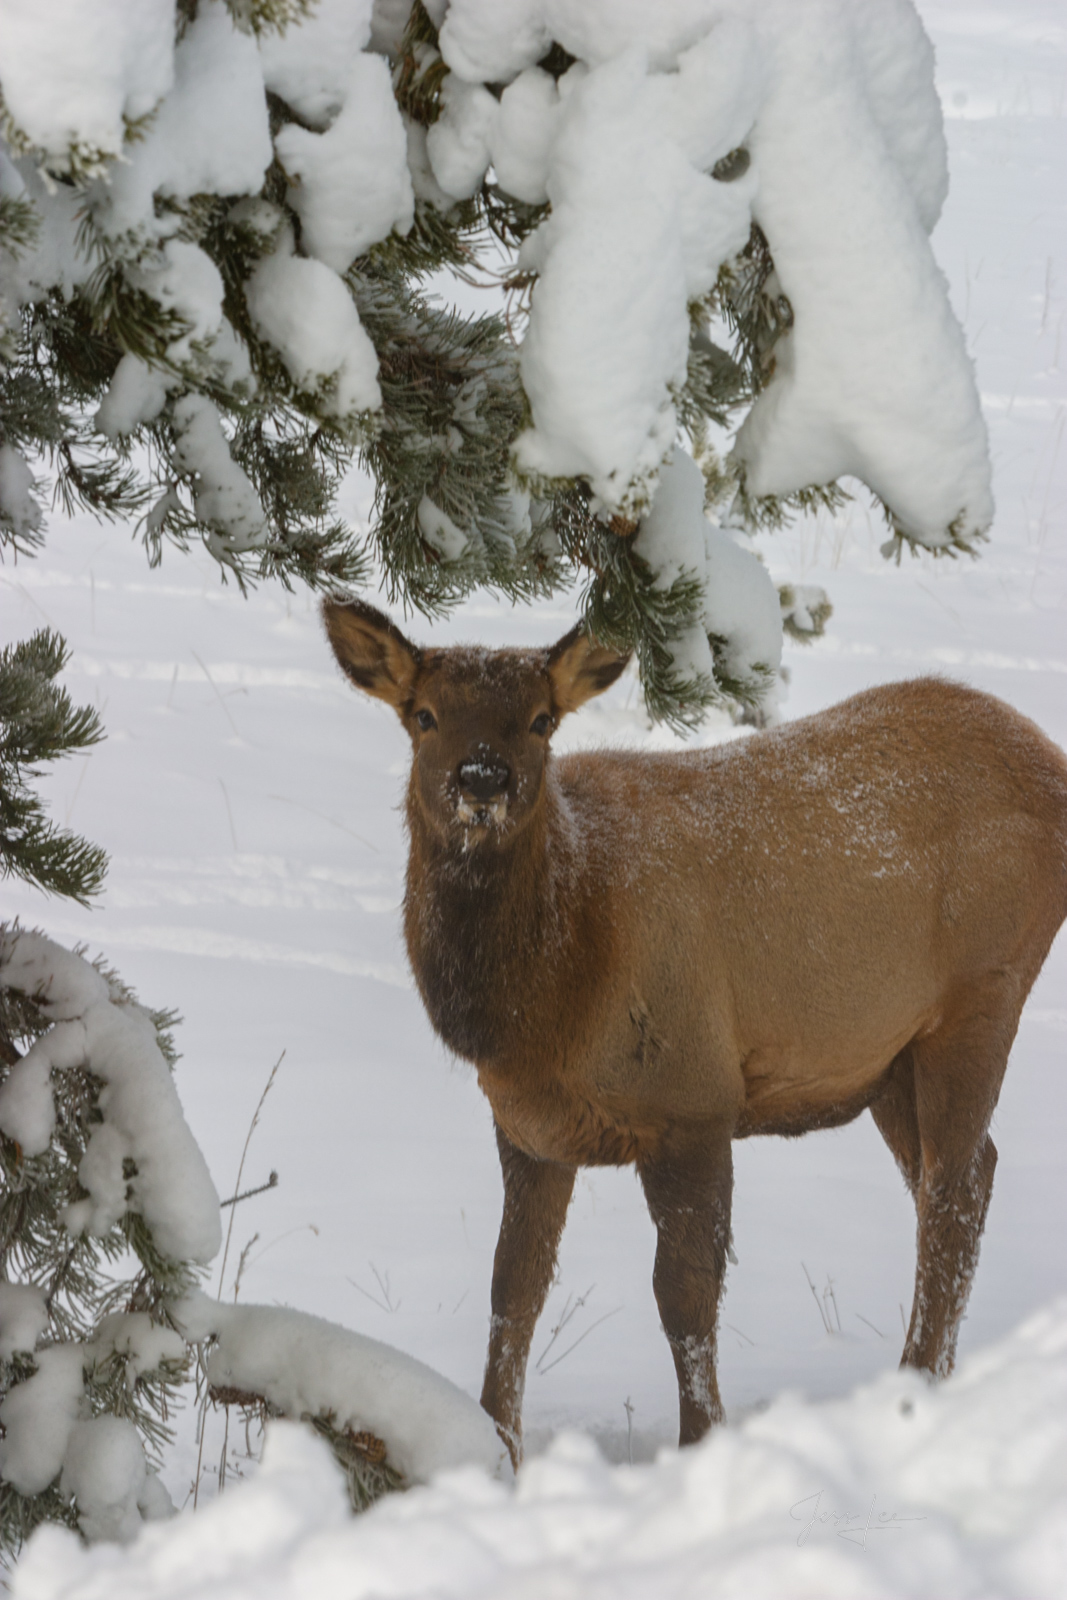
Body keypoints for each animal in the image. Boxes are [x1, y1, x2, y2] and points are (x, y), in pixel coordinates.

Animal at [321, 598, 1067, 1465]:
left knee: (949, 1197)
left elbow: (683, 1294)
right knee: (964, 1177)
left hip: (983, 992)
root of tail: (1048, 762)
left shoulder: (694, 1096)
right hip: (889, 1053)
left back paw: (915, 1388)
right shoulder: (528, 1126)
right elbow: (515, 1287)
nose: (482, 780)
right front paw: (497, 1447)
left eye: (540, 720)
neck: (548, 1008)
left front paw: (698, 1442)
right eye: (423, 715)